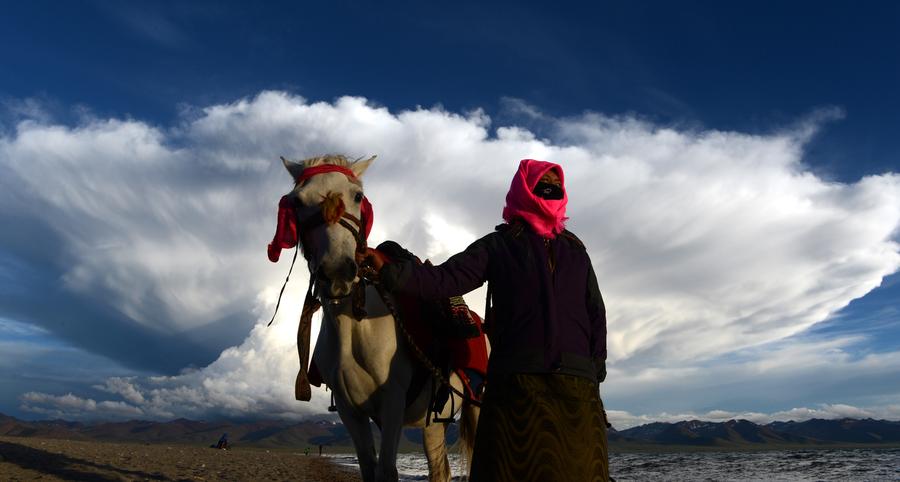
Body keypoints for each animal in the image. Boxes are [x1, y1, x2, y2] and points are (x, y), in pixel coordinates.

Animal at [282, 155, 482, 482]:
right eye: (297, 201)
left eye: (357, 196)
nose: (337, 272)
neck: (355, 327)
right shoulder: (351, 410)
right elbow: (368, 466)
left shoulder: (393, 403)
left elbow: (387, 469)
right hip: (434, 422)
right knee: (440, 468)